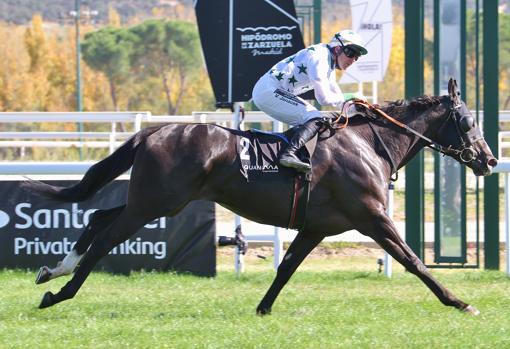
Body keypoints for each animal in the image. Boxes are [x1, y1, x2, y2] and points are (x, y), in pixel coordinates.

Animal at [25, 78, 496, 312]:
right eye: (468, 120)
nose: (489, 160)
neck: (369, 143)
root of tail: (153, 131)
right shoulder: (372, 217)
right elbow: (414, 260)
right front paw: (459, 302)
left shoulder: (316, 227)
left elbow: (285, 268)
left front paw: (263, 309)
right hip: (154, 203)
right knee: (106, 237)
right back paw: (59, 293)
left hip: (157, 200)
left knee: (97, 218)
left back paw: (52, 271)